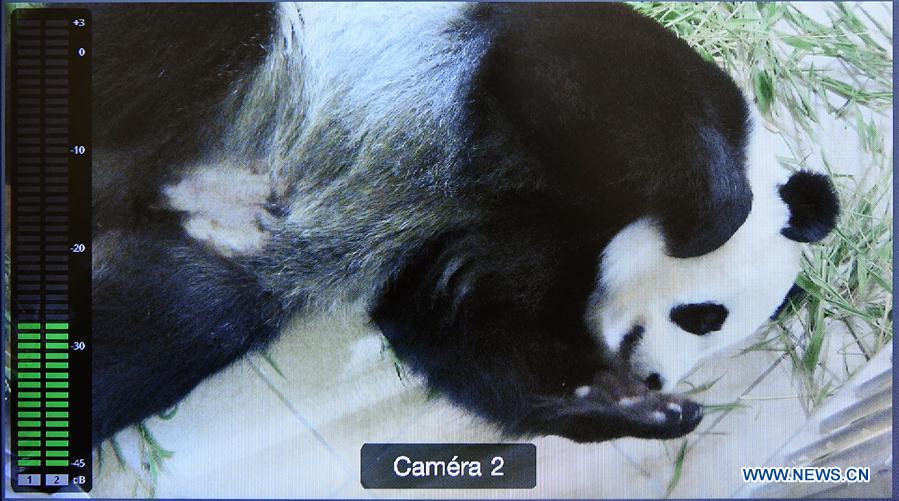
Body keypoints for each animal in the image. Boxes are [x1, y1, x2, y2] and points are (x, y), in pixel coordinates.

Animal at [88, 3, 839, 445]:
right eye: (704, 317)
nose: (656, 379)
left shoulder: (510, 247)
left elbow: (461, 326)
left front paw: (625, 407)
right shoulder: (564, 68)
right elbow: (573, 70)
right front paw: (710, 220)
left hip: (216, 266)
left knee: (154, 328)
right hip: (245, 48)